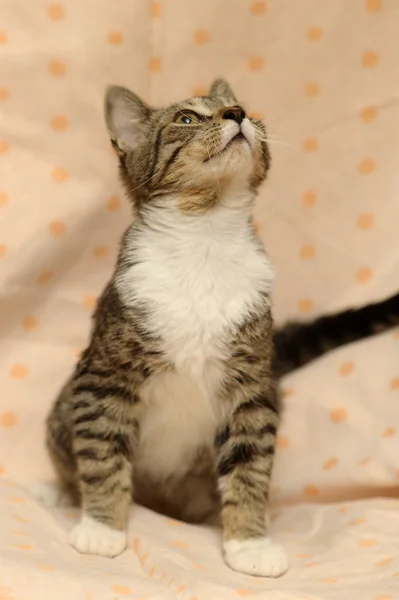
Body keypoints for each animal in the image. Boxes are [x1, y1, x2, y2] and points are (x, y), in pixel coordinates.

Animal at [38, 77, 399, 580]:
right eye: (187, 118)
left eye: (240, 105)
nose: (237, 113)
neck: (204, 239)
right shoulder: (104, 374)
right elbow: (101, 450)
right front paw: (102, 526)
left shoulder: (253, 386)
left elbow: (250, 466)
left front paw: (249, 542)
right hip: (64, 404)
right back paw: (60, 492)